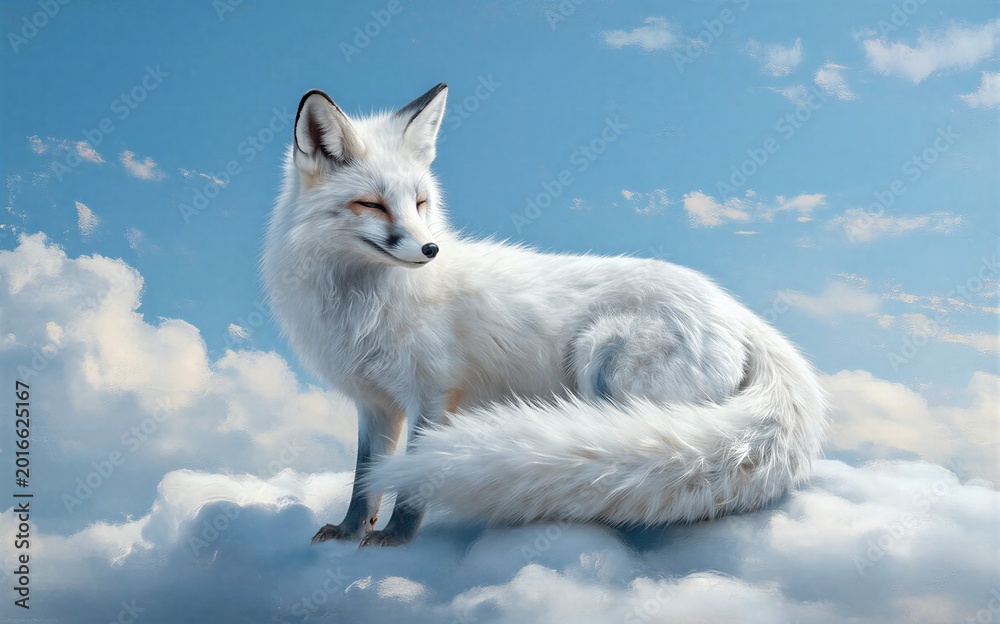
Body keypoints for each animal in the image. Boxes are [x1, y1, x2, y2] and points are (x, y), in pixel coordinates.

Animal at [262, 83, 827, 547]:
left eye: (420, 202)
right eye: (373, 205)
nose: (429, 250)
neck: (362, 304)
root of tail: (737, 309)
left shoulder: (434, 393)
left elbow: (415, 476)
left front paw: (398, 538)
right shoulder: (374, 403)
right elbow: (364, 479)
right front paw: (349, 531)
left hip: (603, 362)